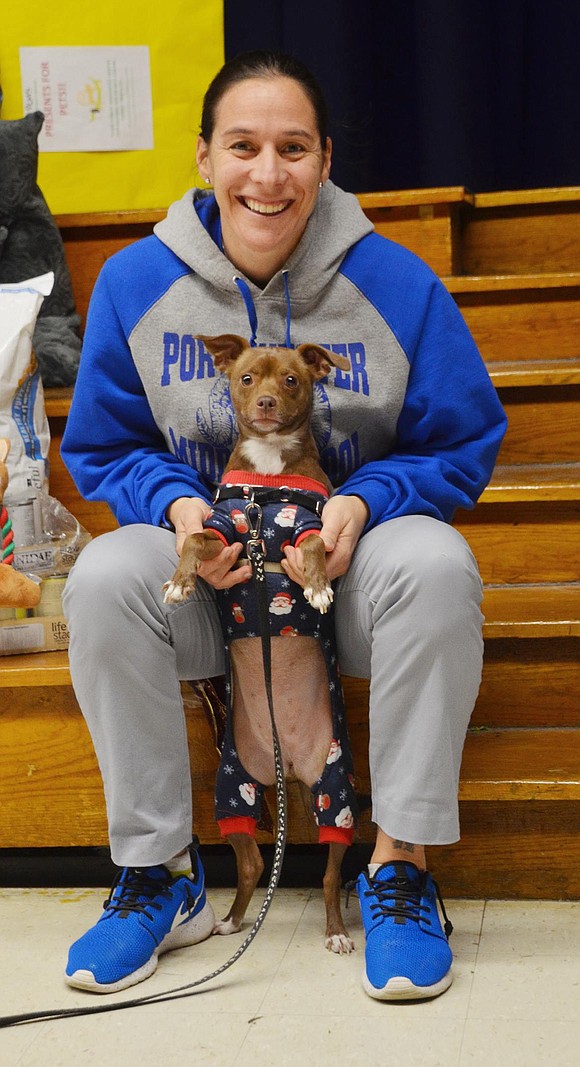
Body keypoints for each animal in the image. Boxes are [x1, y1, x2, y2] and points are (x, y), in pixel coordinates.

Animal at [160, 332, 356, 951]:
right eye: (247, 378)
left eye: (291, 380)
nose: (267, 402)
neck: (265, 489)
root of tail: (288, 765)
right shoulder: (222, 526)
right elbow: (193, 541)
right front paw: (179, 582)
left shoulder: (309, 527)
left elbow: (314, 547)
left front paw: (315, 589)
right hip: (233, 793)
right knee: (248, 864)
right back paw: (230, 920)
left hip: (337, 794)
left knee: (329, 872)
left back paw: (336, 933)